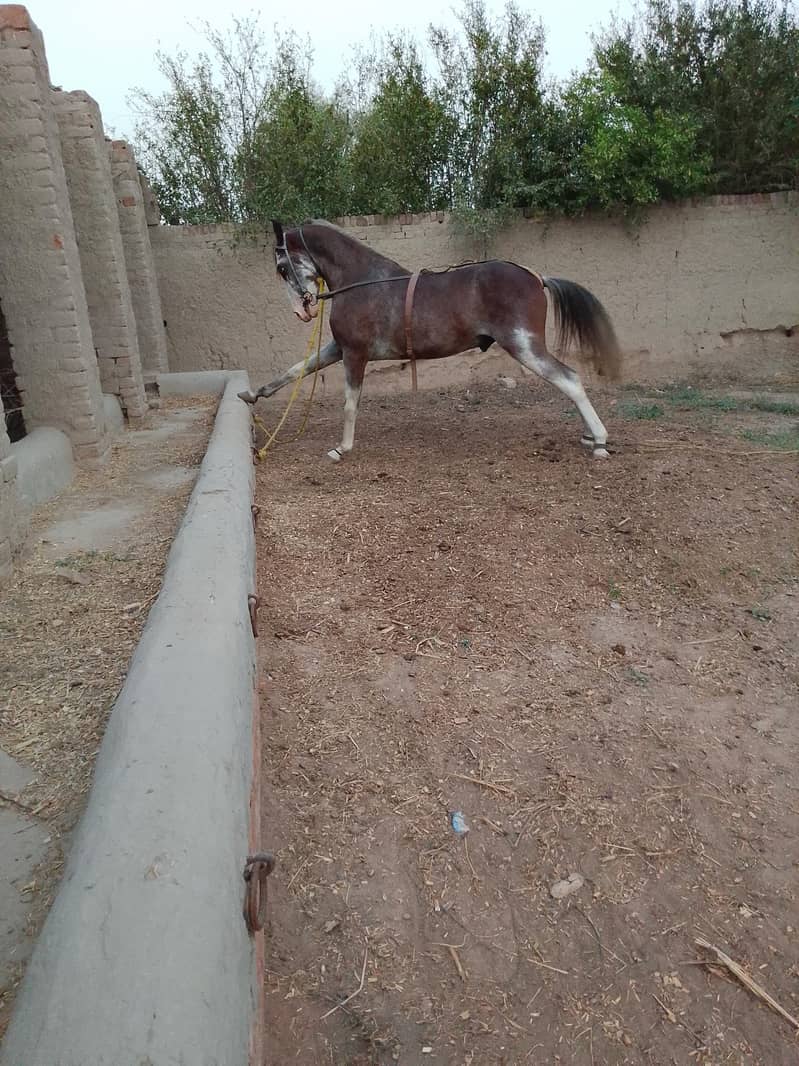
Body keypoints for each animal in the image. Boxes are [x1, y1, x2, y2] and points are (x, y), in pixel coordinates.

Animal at [238, 219, 622, 461]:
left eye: (282, 267)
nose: (302, 313)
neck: (362, 281)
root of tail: (536, 277)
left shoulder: (355, 354)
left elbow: (349, 403)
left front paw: (341, 448)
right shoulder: (339, 348)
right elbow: (295, 370)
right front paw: (252, 394)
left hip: (524, 346)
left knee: (569, 379)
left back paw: (599, 441)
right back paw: (590, 436)